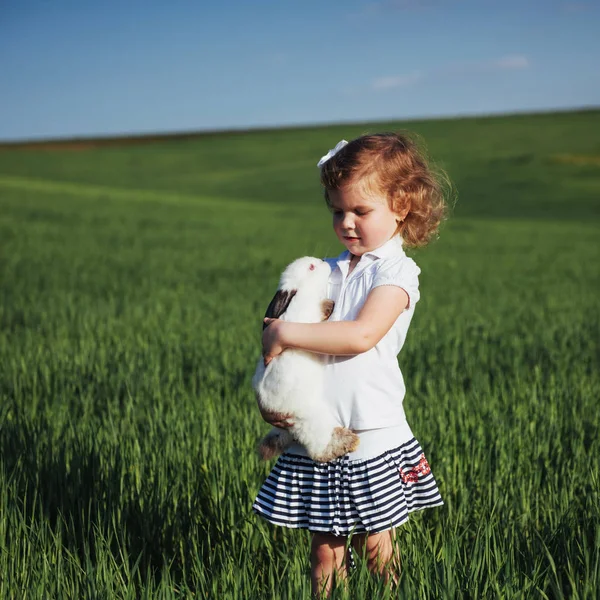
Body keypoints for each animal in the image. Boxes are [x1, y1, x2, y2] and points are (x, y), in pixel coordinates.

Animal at [251, 255, 358, 462]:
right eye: (311, 267)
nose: (324, 261)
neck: (302, 291)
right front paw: (329, 305)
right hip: (311, 419)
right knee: (318, 447)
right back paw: (347, 441)